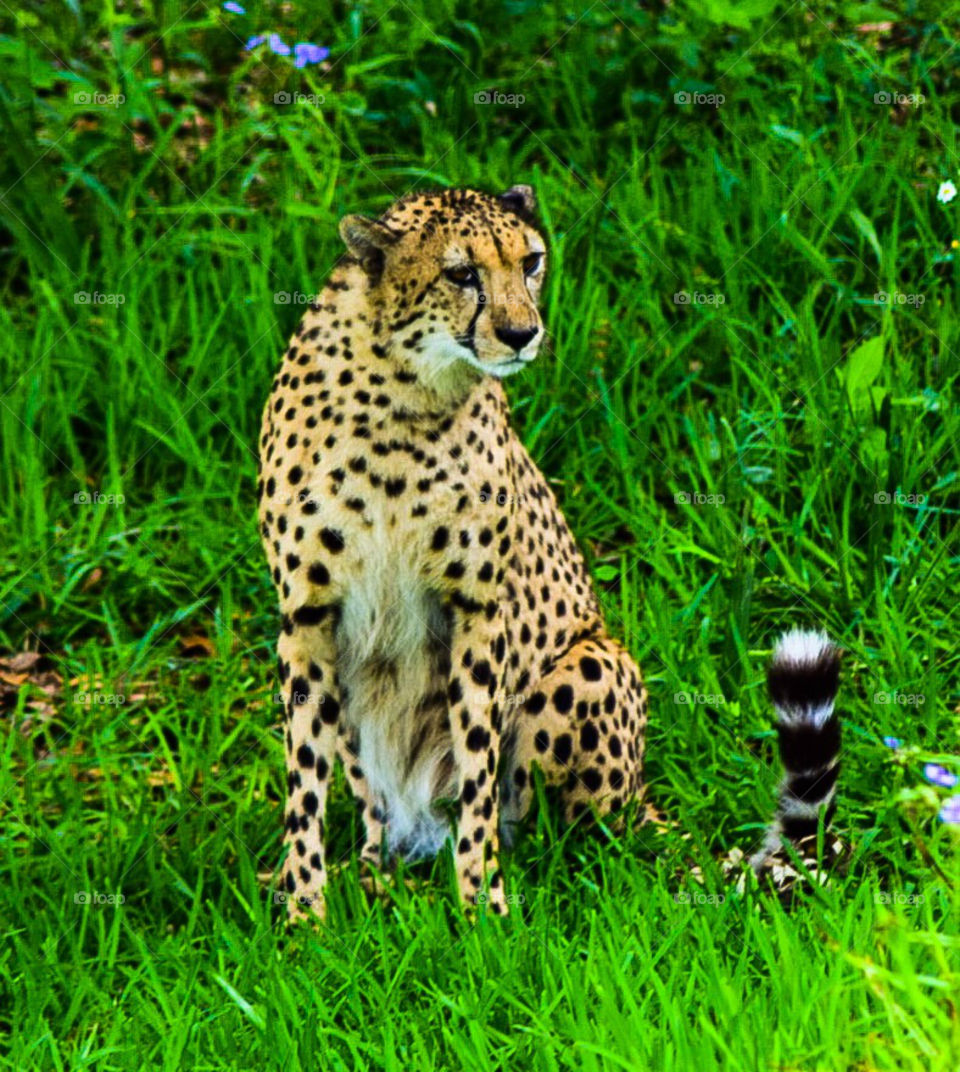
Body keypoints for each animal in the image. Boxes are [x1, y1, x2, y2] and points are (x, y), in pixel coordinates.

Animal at [256, 184, 842, 920]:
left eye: (530, 261)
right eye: (461, 273)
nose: (520, 333)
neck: (406, 390)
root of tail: (640, 802)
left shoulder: (478, 610)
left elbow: (477, 764)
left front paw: (483, 909)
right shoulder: (307, 618)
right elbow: (304, 782)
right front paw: (306, 913)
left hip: (591, 666)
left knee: (567, 842)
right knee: (383, 817)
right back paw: (375, 874)